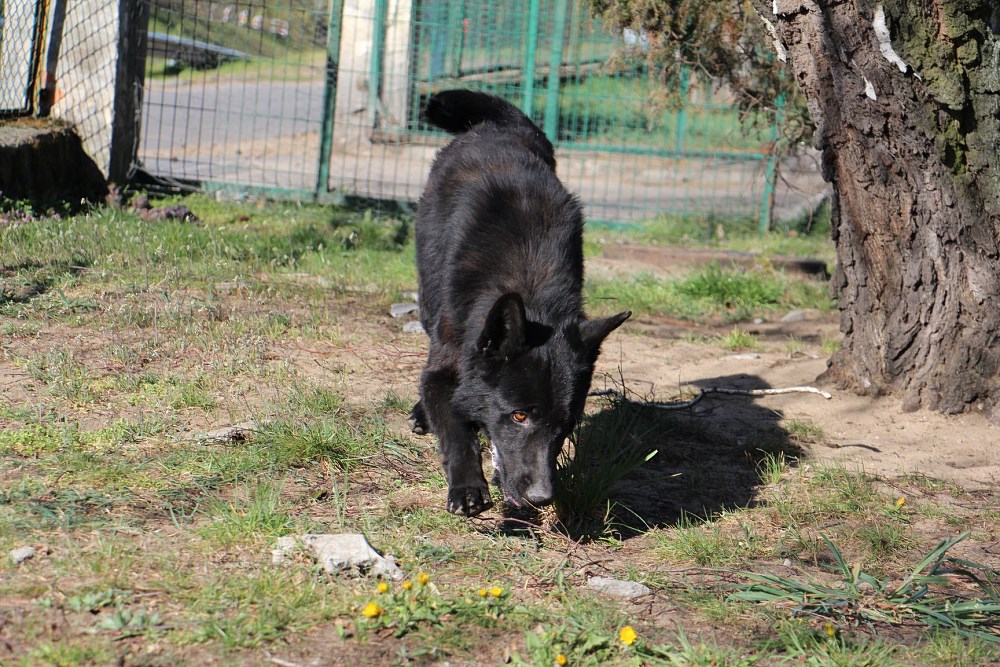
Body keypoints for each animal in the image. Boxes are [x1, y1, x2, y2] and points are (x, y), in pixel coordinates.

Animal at [410, 89, 630, 516]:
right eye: (519, 415)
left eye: (566, 424)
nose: (542, 498)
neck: (526, 285)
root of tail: (502, 126)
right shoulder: (445, 362)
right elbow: (455, 430)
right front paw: (468, 486)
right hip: (428, 301)